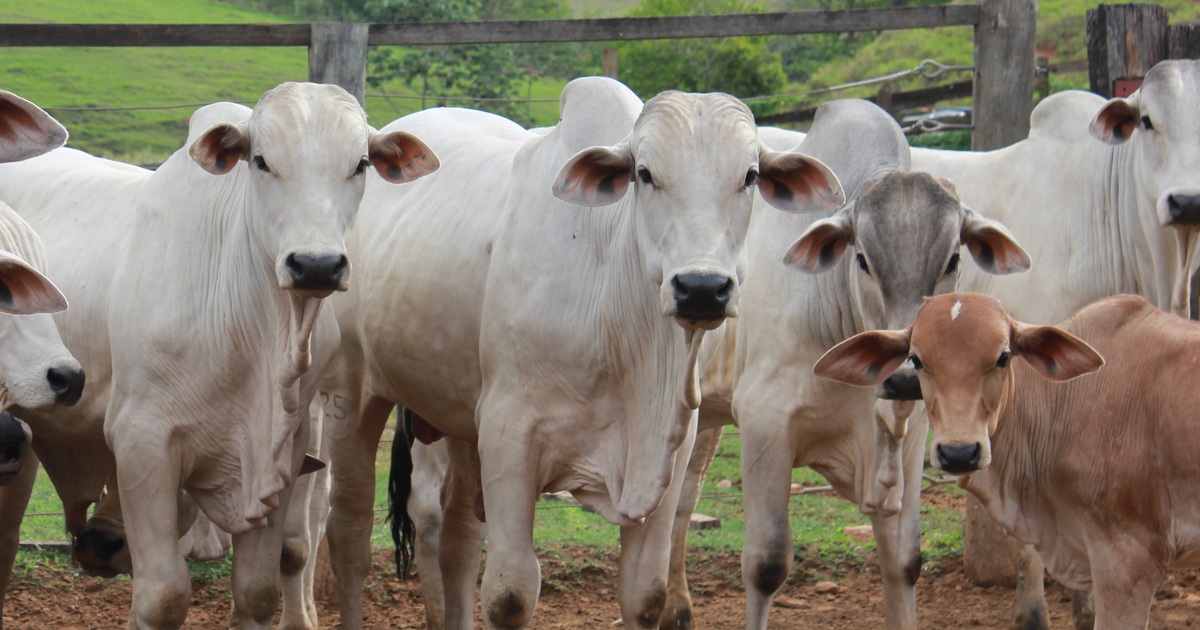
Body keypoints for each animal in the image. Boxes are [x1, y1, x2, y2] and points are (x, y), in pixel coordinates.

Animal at [0, 81, 436, 624]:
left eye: (360, 164)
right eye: (261, 161)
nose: (316, 265)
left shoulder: (282, 456)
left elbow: (258, 590)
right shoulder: (143, 442)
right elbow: (162, 596)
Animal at [657, 99, 1032, 628]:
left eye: (952, 260)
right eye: (863, 260)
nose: (905, 378)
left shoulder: (912, 436)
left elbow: (905, 562)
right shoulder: (766, 423)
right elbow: (767, 564)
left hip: (704, 415)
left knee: (683, 501)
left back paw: (678, 608)